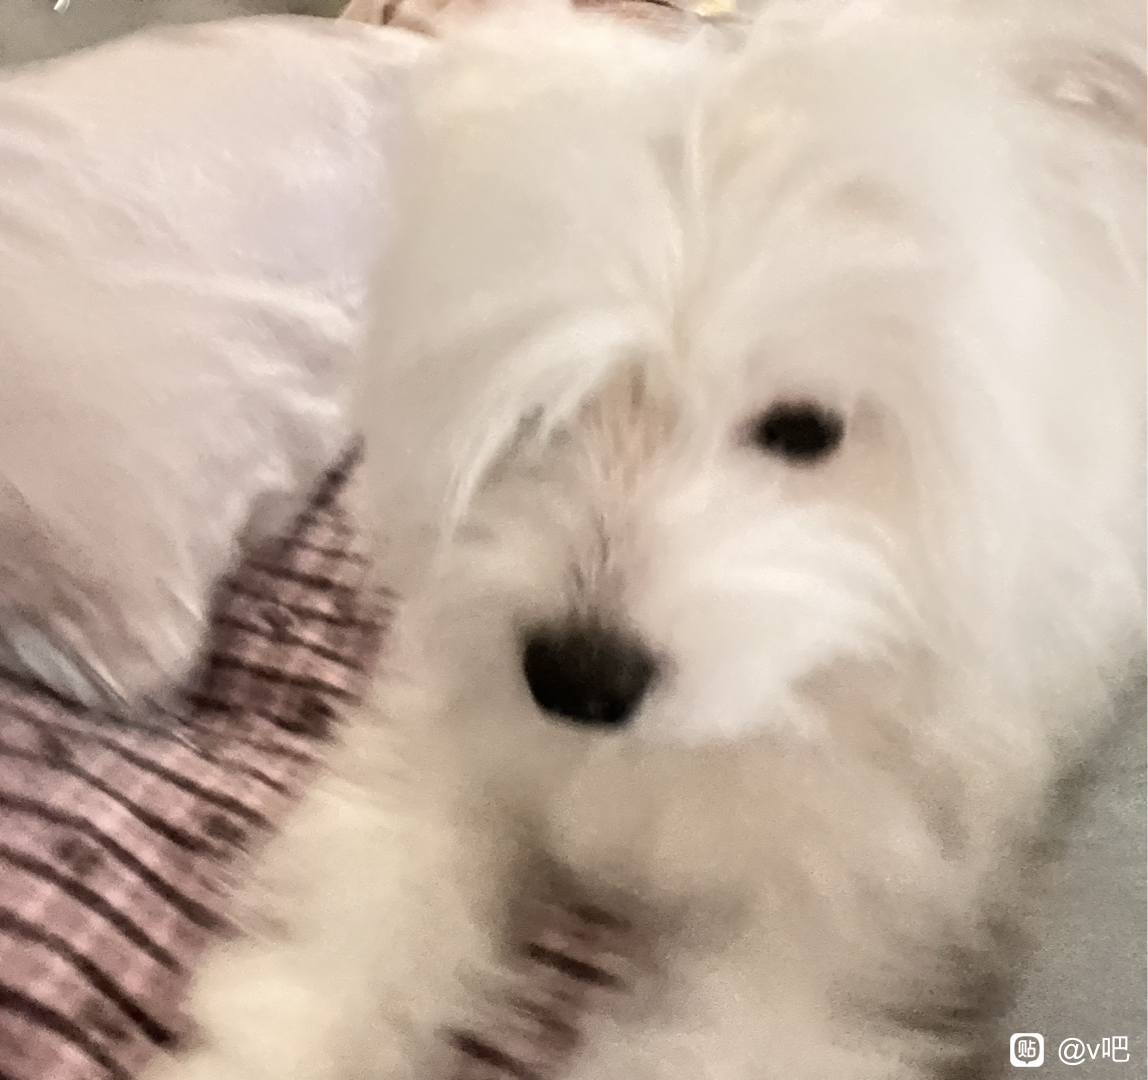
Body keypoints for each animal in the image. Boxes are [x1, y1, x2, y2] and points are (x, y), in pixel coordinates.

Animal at [146, 2, 1148, 1077]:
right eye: (540, 407)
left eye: (806, 429)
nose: (577, 679)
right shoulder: (446, 737)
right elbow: (360, 924)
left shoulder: (850, 925)